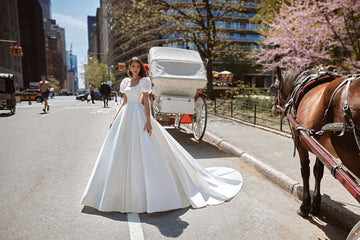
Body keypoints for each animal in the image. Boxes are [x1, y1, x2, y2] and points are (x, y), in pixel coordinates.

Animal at [272, 66, 360, 217]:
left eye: (275, 87)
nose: (273, 108)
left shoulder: (301, 141)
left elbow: (305, 171)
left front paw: (305, 206)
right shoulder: (320, 146)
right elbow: (318, 171)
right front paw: (316, 204)